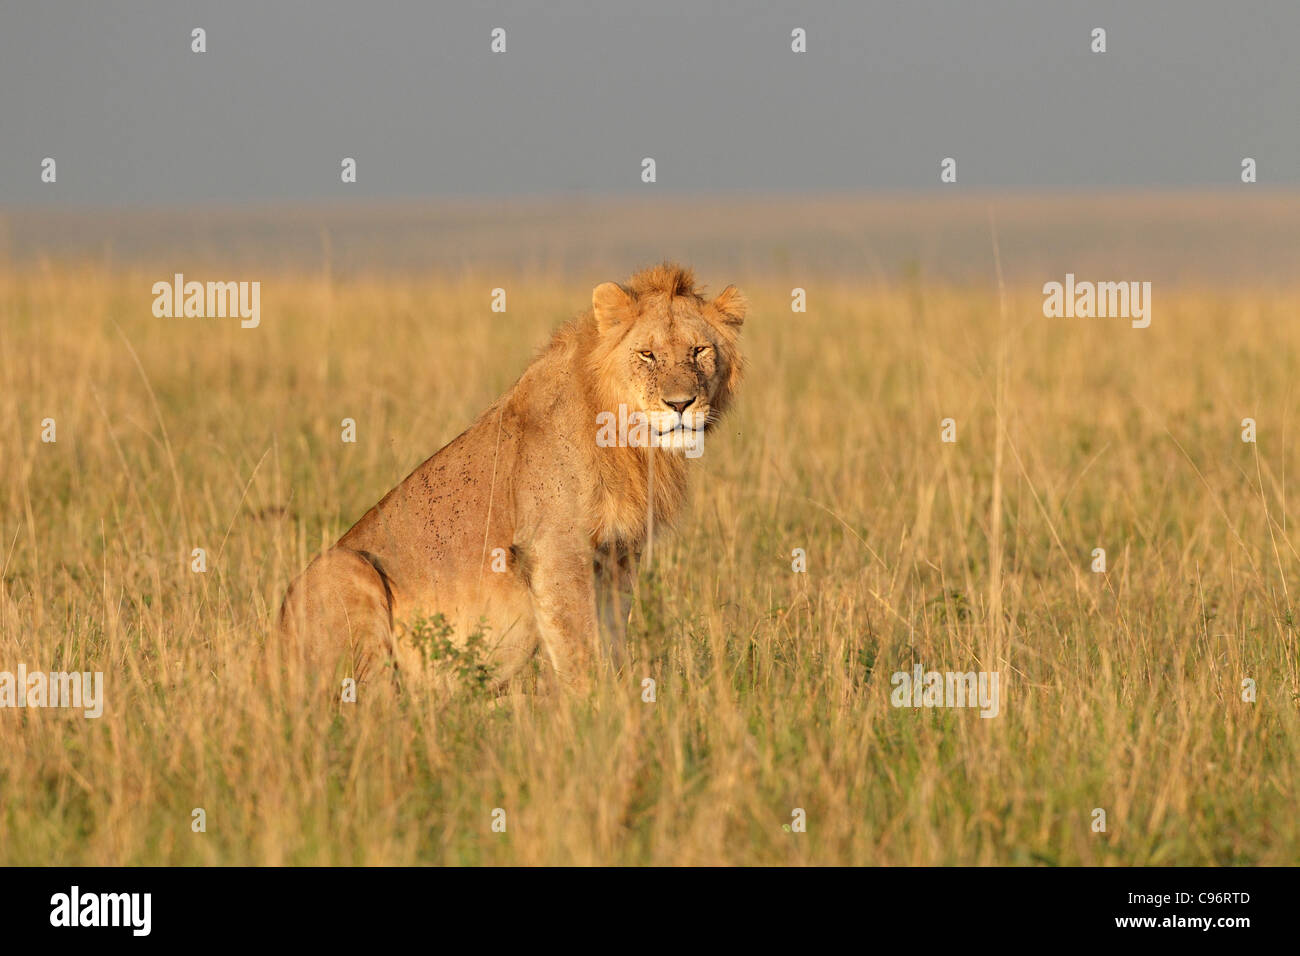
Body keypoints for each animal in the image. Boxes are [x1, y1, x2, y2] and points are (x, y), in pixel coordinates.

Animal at [277, 263, 746, 697]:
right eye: (647, 354)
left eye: (700, 350)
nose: (681, 404)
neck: (631, 440)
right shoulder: (555, 549)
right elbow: (578, 649)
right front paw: (595, 714)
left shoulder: (618, 555)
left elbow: (612, 639)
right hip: (345, 568)